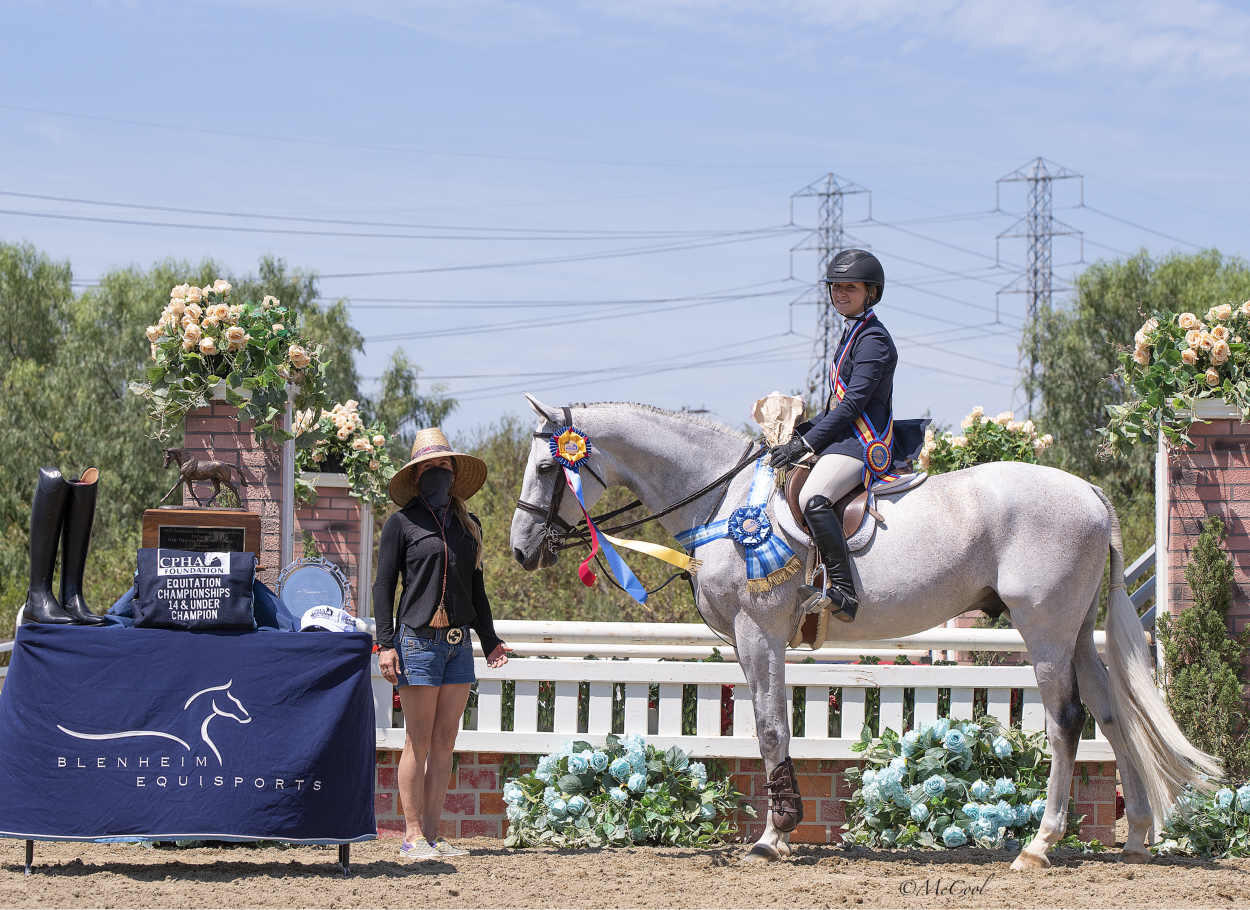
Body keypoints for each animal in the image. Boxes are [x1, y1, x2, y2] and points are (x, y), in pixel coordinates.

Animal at [510, 395, 1220, 870]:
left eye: (548, 470)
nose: (521, 550)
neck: (723, 500)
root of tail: (1092, 496)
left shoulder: (759, 631)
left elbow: (771, 725)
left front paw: (775, 835)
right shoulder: (747, 639)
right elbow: (766, 725)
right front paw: (779, 829)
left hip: (1043, 627)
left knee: (1066, 719)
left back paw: (1039, 846)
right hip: (1074, 632)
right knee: (1109, 710)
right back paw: (1136, 839)